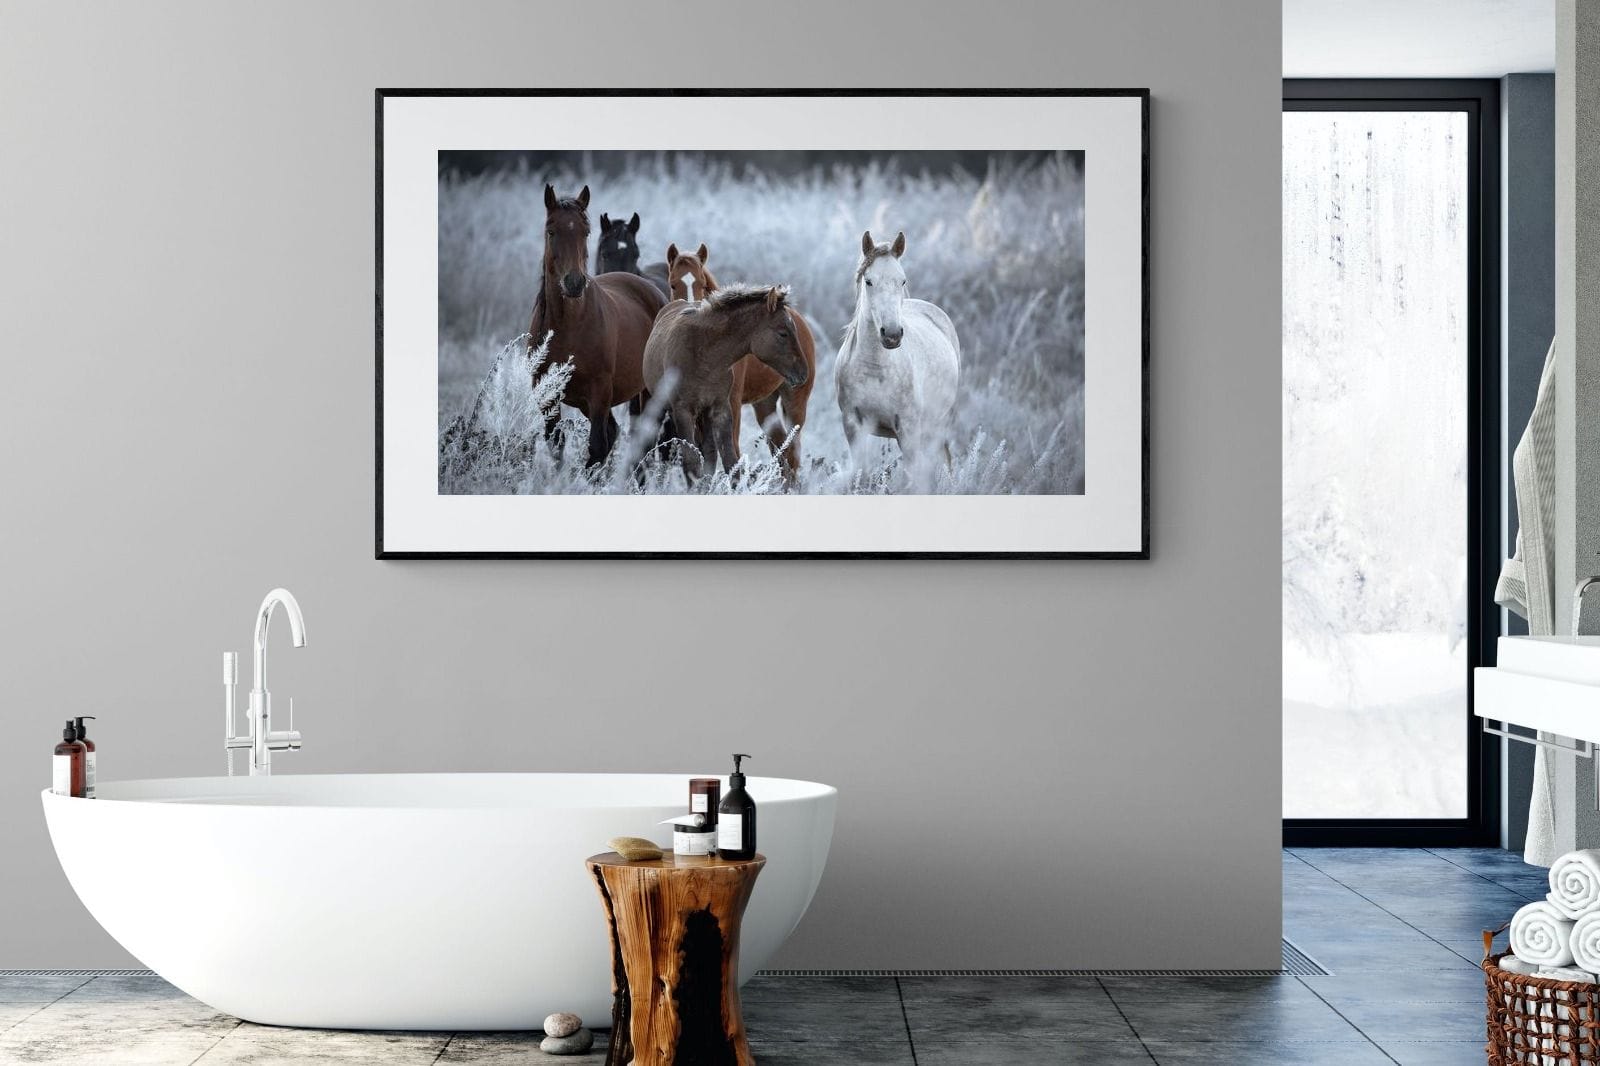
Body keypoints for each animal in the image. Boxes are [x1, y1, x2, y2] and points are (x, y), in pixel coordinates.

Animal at [527, 185, 667, 466]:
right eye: (551, 230)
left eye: (586, 231)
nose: (574, 283)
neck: (568, 326)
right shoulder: (548, 396)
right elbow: (557, 446)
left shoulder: (599, 393)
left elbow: (596, 447)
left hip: (647, 392)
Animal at [641, 284, 809, 482]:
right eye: (783, 333)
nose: (803, 373)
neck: (705, 355)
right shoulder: (683, 411)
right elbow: (691, 462)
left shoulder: (720, 408)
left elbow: (730, 462)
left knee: (710, 454)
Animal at [665, 242, 818, 483]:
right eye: (673, 283)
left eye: (702, 283)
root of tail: (801, 321)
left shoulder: (731, 403)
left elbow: (732, 452)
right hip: (764, 403)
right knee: (780, 447)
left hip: (795, 402)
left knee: (792, 452)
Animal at [835, 230, 962, 468]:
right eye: (869, 281)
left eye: (902, 280)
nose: (892, 335)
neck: (875, 369)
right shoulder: (853, 426)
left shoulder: (908, 430)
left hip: (938, 426)